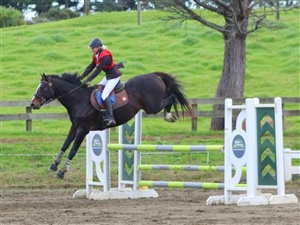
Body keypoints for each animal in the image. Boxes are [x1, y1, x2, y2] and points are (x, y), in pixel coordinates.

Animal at [29, 72, 191, 179]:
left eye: (43, 88)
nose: (33, 104)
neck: (78, 99)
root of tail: (154, 75)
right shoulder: (74, 127)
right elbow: (64, 145)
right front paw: (54, 165)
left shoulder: (83, 130)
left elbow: (73, 150)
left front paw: (62, 171)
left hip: (153, 106)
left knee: (171, 96)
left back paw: (169, 115)